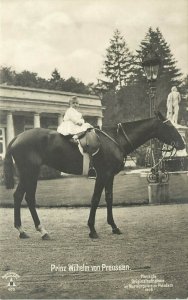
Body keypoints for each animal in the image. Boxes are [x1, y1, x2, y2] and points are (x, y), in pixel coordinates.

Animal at [3, 112, 185, 239]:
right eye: (169, 127)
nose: (182, 143)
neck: (115, 139)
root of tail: (17, 137)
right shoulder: (102, 175)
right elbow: (96, 199)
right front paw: (92, 229)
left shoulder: (110, 176)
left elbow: (109, 198)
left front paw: (113, 226)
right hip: (30, 173)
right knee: (27, 197)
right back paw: (40, 230)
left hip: (29, 174)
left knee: (20, 196)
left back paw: (23, 230)